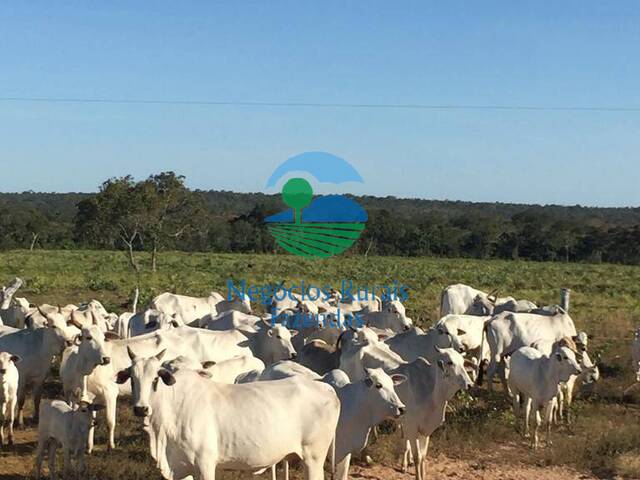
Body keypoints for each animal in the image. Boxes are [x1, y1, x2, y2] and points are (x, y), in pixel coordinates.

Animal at [117, 348, 342, 480]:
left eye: (155, 379)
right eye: (132, 379)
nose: (141, 408)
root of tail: (326, 388)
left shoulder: (205, 464)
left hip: (313, 457)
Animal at [390, 348, 476, 480]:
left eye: (462, 362)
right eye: (450, 362)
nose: (470, 384)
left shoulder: (425, 431)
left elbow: (423, 456)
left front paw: (423, 474)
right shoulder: (412, 427)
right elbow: (417, 456)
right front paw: (418, 476)